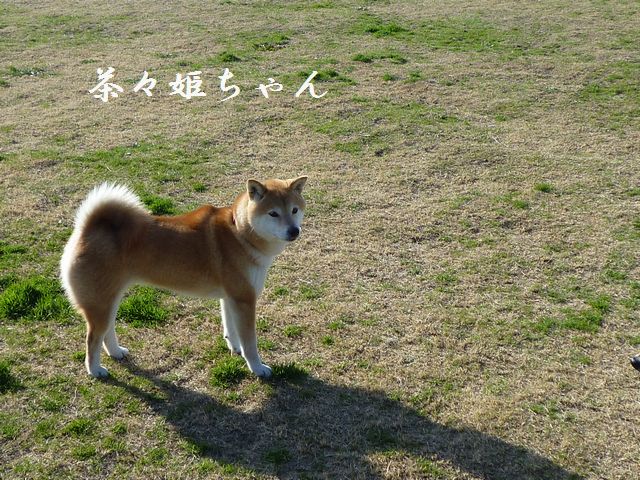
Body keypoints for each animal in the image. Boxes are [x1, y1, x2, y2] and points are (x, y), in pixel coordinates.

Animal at [60, 177, 307, 378]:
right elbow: (250, 342)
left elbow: (231, 330)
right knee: (93, 338)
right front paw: (257, 368)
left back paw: (116, 352)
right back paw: (95, 370)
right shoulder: (245, 299)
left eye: (294, 210)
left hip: (109, 299)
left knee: (107, 330)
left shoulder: (231, 298)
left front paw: (234, 348)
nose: (294, 231)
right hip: (100, 302)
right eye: (273, 213)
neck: (240, 231)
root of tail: (85, 229)